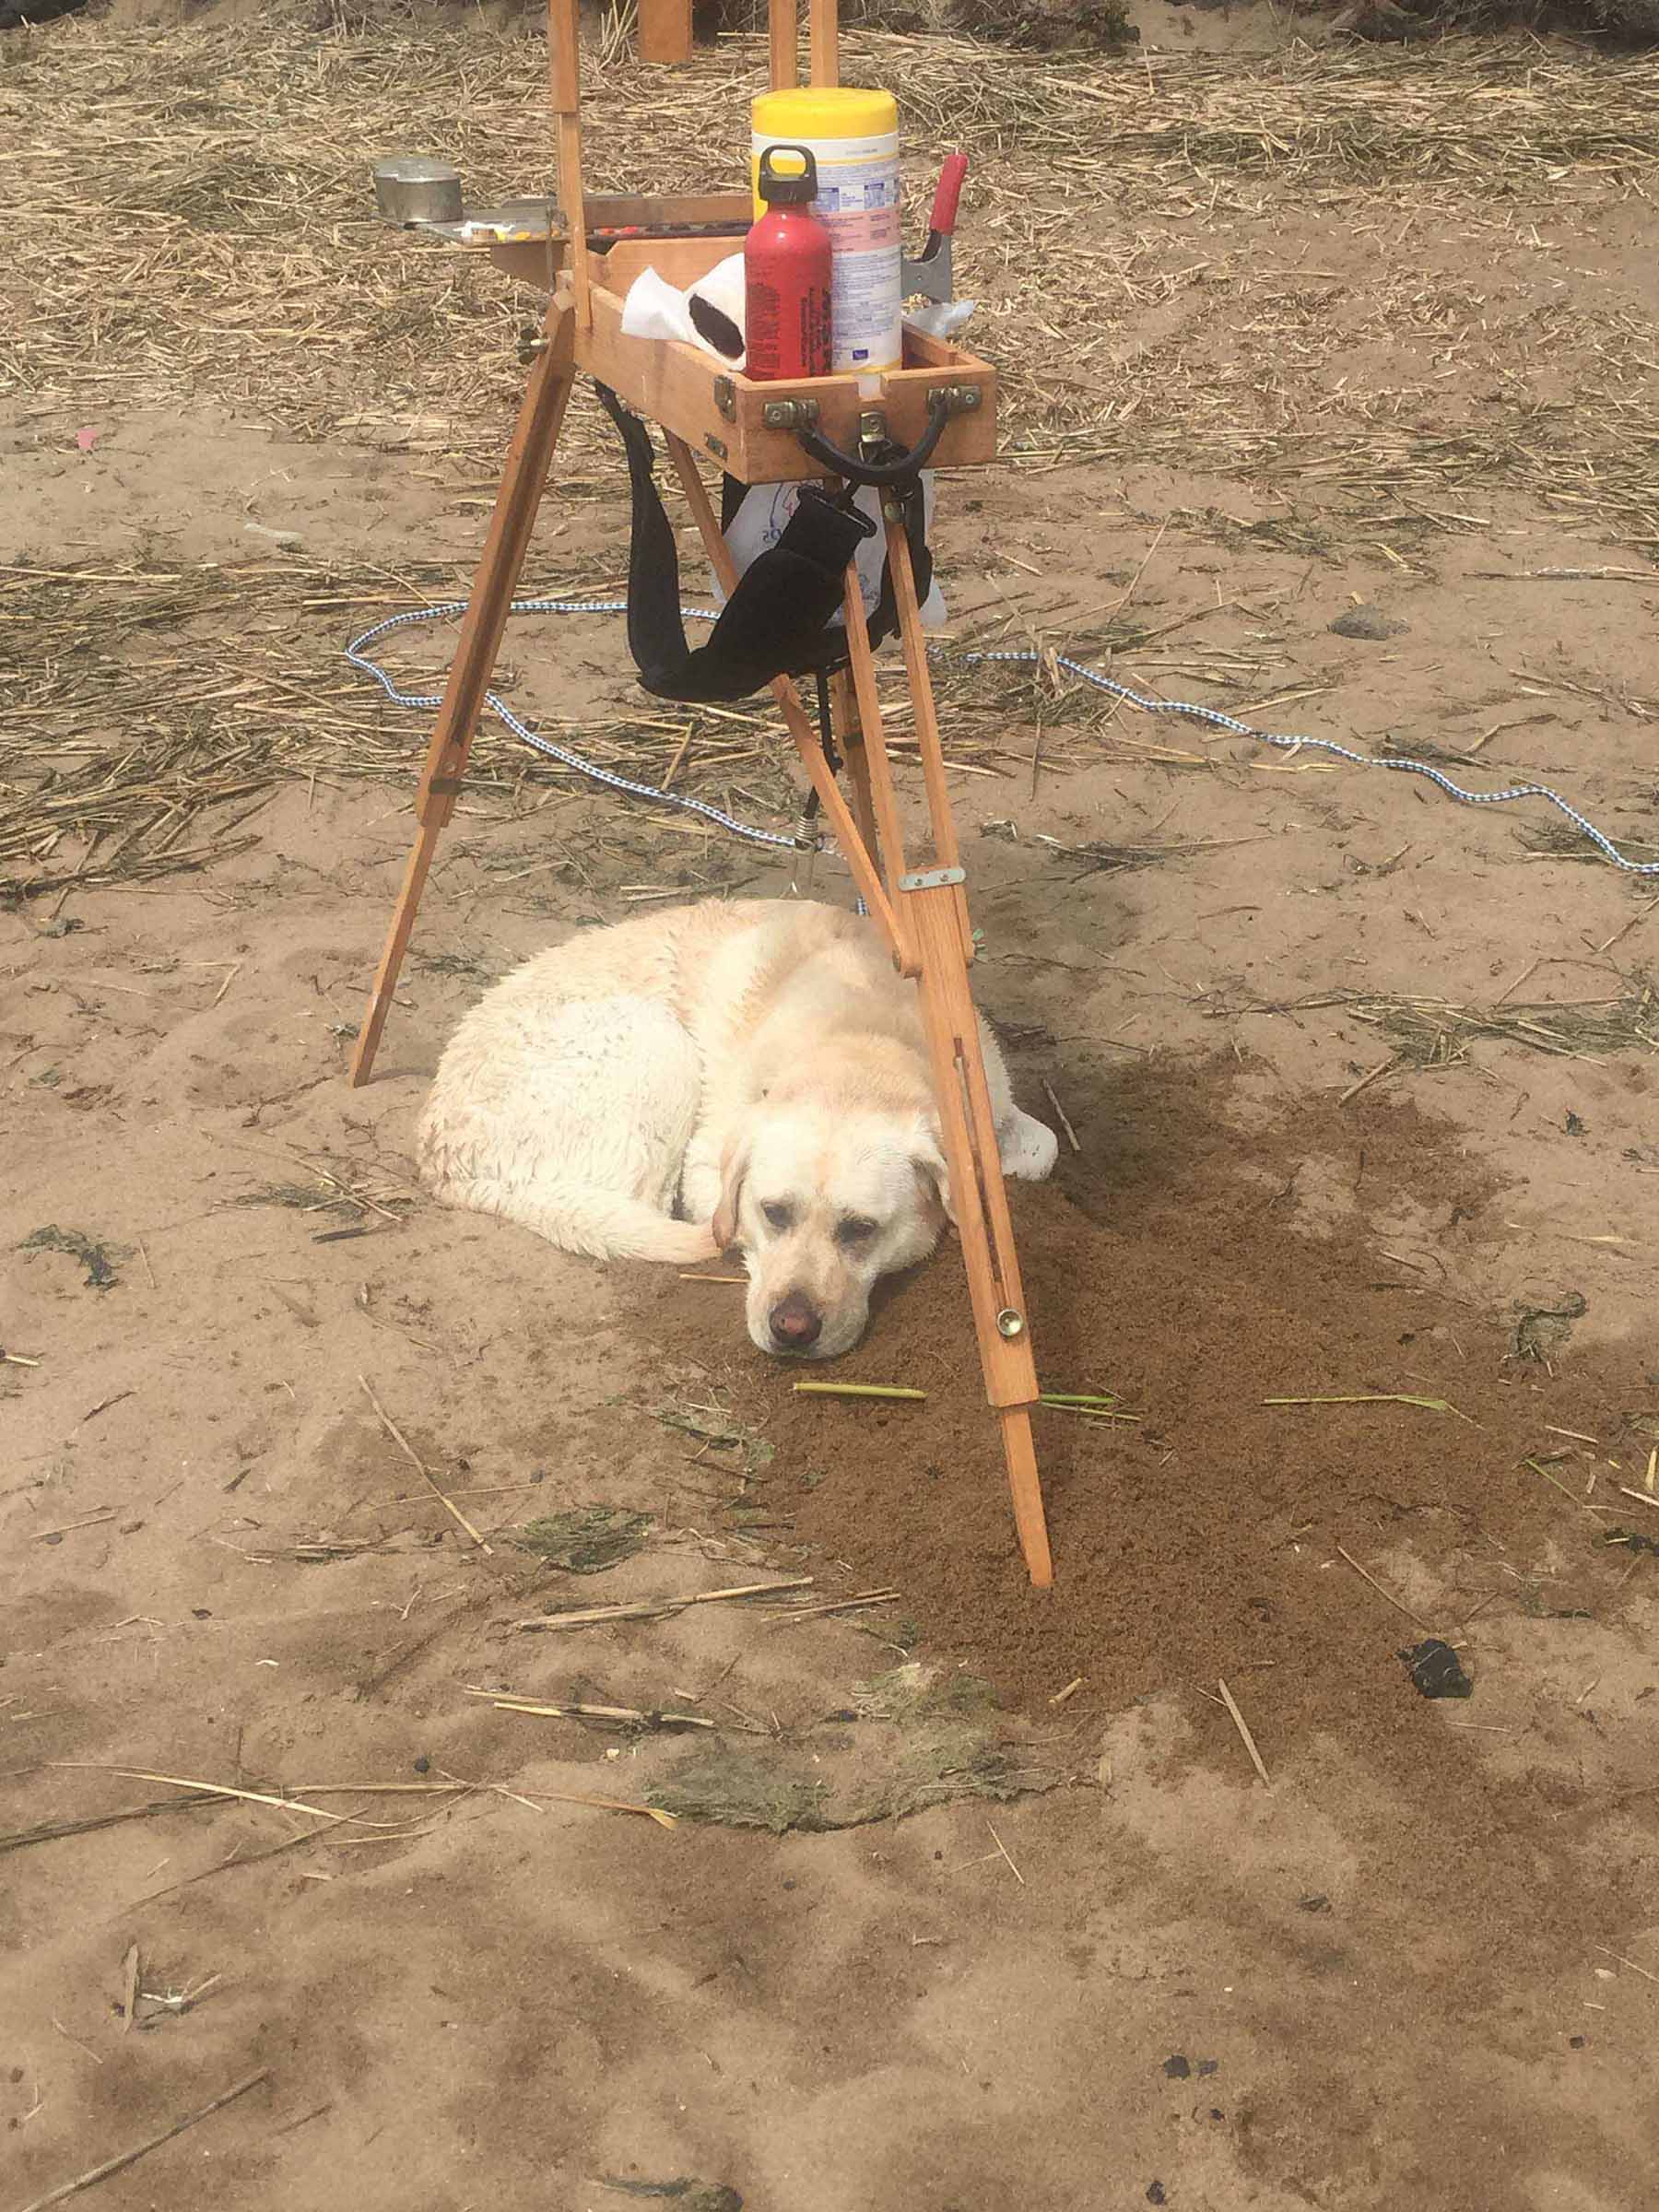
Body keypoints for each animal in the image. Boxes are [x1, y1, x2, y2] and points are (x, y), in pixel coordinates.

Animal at [417, 898, 1057, 1359]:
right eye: (772, 1212)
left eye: (861, 1229)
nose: (793, 1329)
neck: (865, 1046)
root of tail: (442, 1162)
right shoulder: (708, 1163)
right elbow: (723, 1222)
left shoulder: (994, 1102)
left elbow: (1041, 1147)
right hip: (657, 1040)